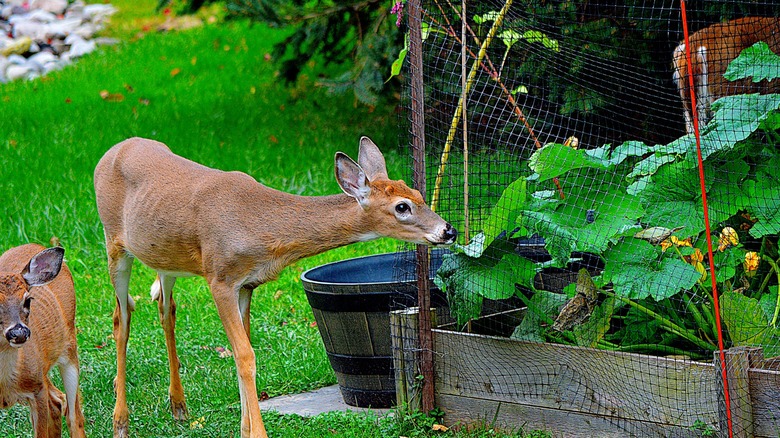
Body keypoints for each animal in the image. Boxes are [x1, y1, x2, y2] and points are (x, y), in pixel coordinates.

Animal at [0, 244, 86, 438]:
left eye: (27, 300)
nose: (19, 332)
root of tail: (35, 245)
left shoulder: (37, 390)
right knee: (57, 400)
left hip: (69, 348)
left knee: (73, 414)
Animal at [93, 136, 457, 438]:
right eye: (401, 207)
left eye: (419, 195)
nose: (449, 231)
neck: (262, 228)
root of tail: (112, 151)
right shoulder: (220, 277)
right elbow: (244, 355)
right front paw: (256, 433)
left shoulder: (247, 284)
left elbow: (242, 352)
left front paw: (243, 429)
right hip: (114, 244)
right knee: (121, 317)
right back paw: (120, 421)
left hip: (164, 257)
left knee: (165, 308)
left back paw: (179, 407)